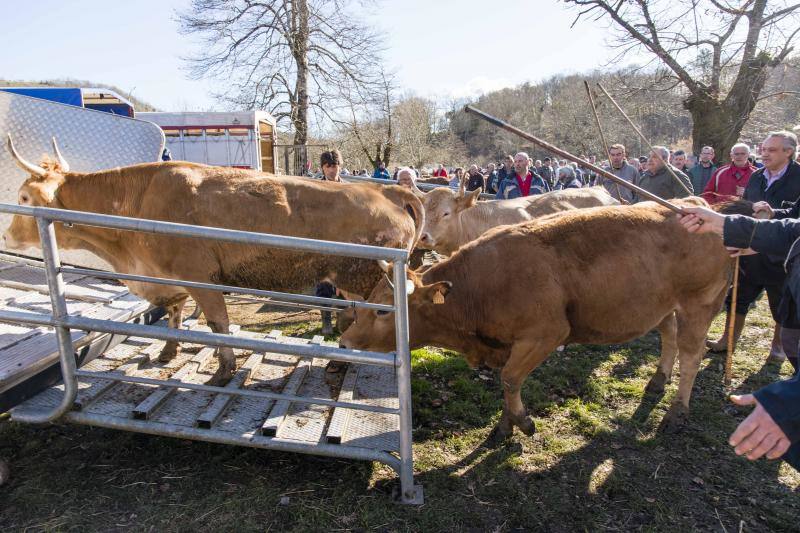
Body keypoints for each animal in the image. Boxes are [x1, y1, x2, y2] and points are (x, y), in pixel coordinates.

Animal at [340, 197, 736, 442]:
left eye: (382, 310)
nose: (344, 341)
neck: (480, 286)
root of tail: (696, 207)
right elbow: (506, 383)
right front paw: (504, 428)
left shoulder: (546, 334)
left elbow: (510, 378)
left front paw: (523, 422)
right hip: (664, 306)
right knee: (669, 336)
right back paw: (656, 381)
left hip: (700, 304)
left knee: (692, 354)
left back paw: (676, 412)